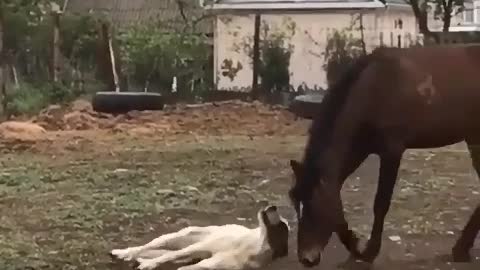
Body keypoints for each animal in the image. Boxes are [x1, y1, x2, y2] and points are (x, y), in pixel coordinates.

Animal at [109, 205, 288, 270]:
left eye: (282, 226)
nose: (273, 206)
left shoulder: (208, 265)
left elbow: (181, 267)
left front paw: (147, 264)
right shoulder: (200, 246)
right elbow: (167, 256)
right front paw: (147, 263)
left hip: (192, 252)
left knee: (167, 255)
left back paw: (138, 259)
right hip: (180, 237)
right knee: (148, 248)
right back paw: (125, 253)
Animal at [288, 45, 480, 266]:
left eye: (316, 204)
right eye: (295, 201)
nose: (306, 258)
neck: (372, 89)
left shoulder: (392, 151)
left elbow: (380, 203)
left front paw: (369, 251)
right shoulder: (359, 149)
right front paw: (355, 246)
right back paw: (461, 249)